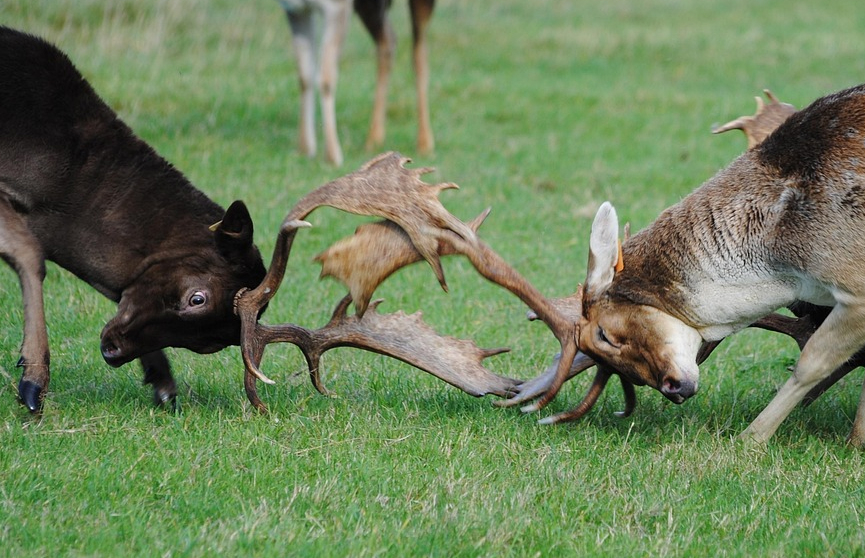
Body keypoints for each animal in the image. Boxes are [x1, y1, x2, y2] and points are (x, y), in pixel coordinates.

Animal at [0, 26, 266, 412]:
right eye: (197, 299)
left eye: (211, 343)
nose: (112, 350)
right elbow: (28, 252)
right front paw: (33, 381)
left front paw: (163, 382)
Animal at [278, 0, 435, 166]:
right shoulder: (295, 10)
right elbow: (304, 76)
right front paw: (304, 149)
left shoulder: (338, 7)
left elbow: (326, 77)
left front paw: (332, 156)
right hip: (368, 7)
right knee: (388, 40)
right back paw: (374, 140)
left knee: (420, 50)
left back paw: (425, 144)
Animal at [572, 83, 865, 446]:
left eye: (606, 334)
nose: (673, 389)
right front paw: (857, 441)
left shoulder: (855, 284)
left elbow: (811, 362)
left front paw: (750, 438)